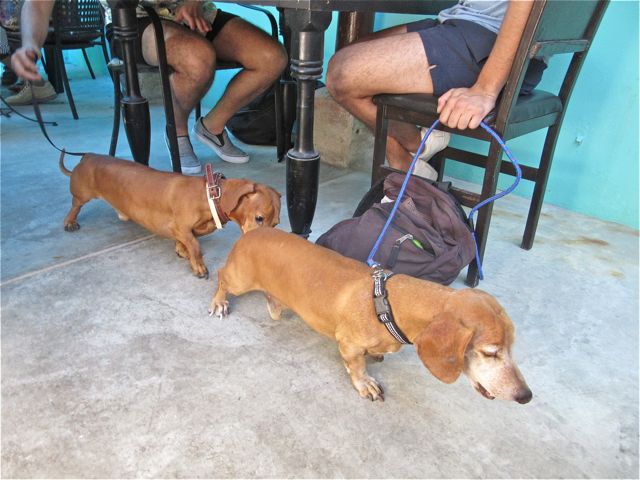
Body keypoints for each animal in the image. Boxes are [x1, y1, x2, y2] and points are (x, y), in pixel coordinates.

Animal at [59, 152, 281, 278]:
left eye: (276, 224)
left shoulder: (188, 230)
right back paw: (70, 222)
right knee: (75, 206)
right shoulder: (179, 226)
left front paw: (181, 250)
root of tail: (87, 156)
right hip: (82, 194)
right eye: (259, 218)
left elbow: (187, 241)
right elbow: (195, 245)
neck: (209, 195)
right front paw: (198, 266)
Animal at [209, 228, 532, 403]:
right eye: (490, 352)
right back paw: (219, 302)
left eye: (513, 347)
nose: (526, 396)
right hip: (239, 279)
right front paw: (366, 383)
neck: (387, 303)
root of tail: (251, 231)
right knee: (222, 276)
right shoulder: (348, 344)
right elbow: (357, 367)